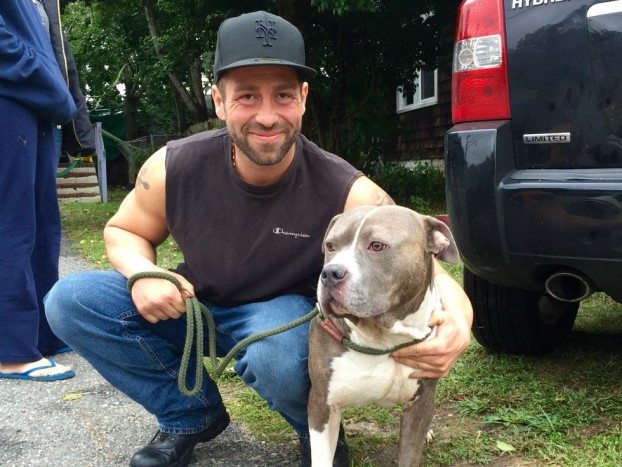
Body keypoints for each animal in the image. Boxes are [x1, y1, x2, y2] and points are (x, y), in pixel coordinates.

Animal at [310, 206, 460, 467]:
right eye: (330, 245)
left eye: (377, 245)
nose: (329, 273)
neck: (383, 338)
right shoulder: (321, 403)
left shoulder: (420, 402)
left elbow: (410, 454)